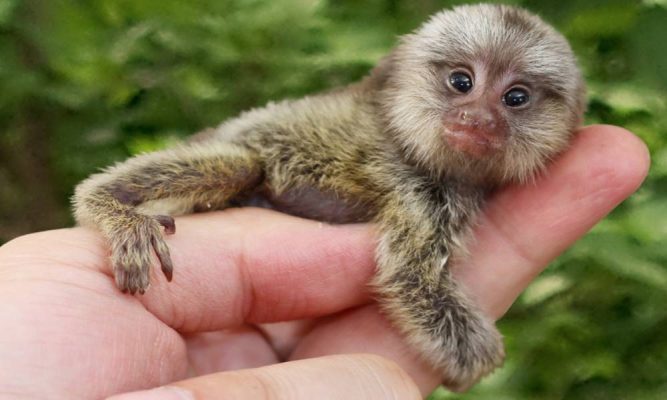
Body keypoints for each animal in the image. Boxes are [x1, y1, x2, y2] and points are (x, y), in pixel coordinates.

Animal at [72, 2, 584, 390]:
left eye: (515, 97)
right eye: (462, 82)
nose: (477, 119)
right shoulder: (417, 188)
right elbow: (412, 278)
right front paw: (478, 360)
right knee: (241, 165)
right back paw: (110, 208)